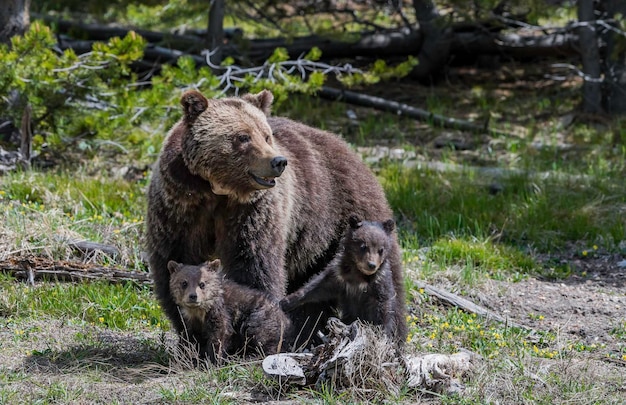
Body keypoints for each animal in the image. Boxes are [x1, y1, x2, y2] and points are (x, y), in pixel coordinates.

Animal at [147, 89, 410, 348]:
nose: (278, 161)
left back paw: (391, 336)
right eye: (243, 137)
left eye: (266, 136)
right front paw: (190, 335)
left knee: (387, 278)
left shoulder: (253, 212)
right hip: (311, 242)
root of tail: (345, 145)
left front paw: (252, 332)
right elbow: (176, 259)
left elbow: (253, 266)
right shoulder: (180, 206)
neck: (217, 191)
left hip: (346, 213)